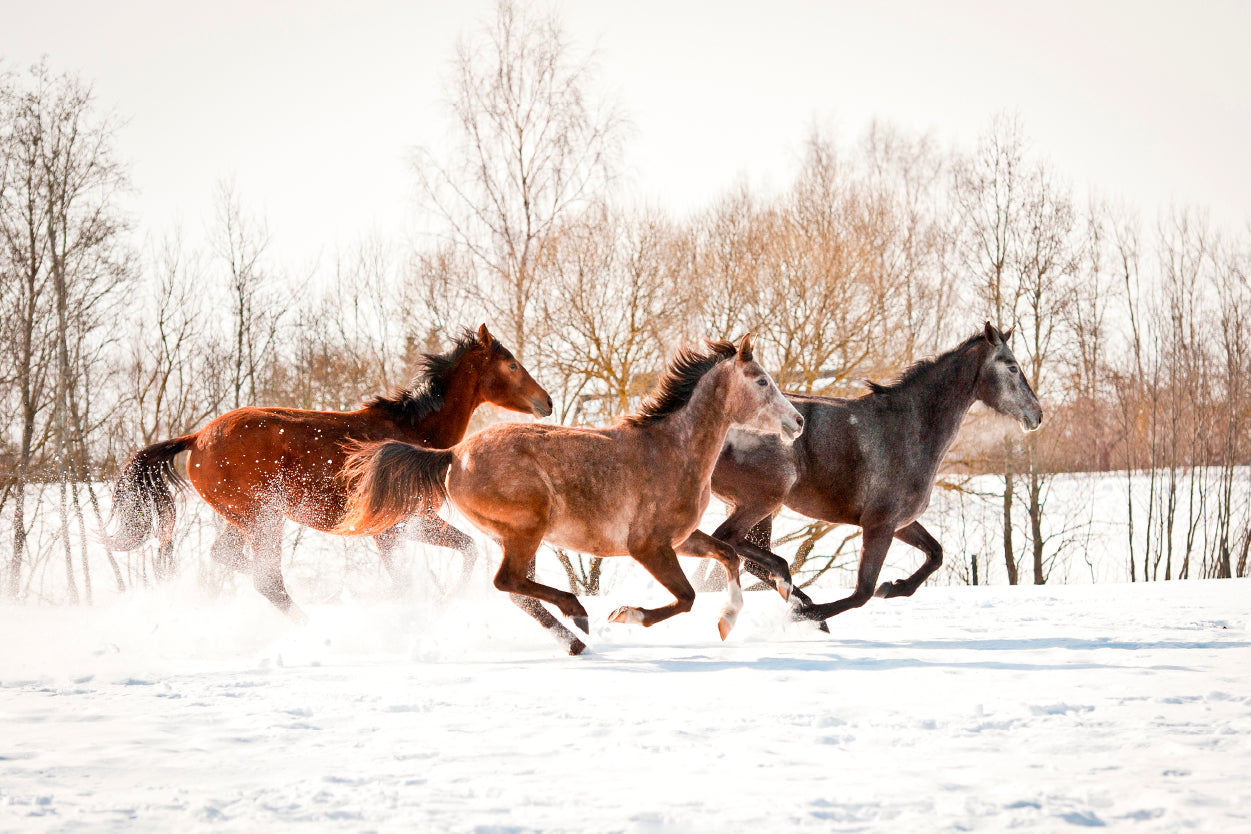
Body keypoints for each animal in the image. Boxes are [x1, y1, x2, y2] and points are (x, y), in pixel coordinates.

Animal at [104, 324, 551, 620]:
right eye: (512, 365)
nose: (546, 402)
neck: (413, 434)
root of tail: (196, 438)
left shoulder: (406, 525)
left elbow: (464, 551)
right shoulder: (394, 528)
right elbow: (430, 568)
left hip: (243, 518)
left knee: (231, 559)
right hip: (264, 517)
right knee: (268, 581)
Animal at [334, 334, 804, 655]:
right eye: (762, 381)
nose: (798, 422)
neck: (672, 449)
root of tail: (453, 454)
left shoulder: (681, 539)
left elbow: (729, 556)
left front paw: (728, 620)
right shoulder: (648, 546)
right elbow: (687, 597)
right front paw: (626, 614)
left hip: (514, 537)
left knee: (517, 589)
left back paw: (574, 639)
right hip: (527, 529)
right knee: (507, 581)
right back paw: (577, 613)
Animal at [709, 323, 1043, 626]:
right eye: (1012, 367)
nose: (1037, 415)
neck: (910, 426)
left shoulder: (899, 522)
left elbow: (936, 553)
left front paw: (893, 587)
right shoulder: (879, 524)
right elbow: (863, 592)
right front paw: (809, 615)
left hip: (756, 507)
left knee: (748, 557)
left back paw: (794, 591)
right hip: (763, 500)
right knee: (728, 539)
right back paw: (796, 594)